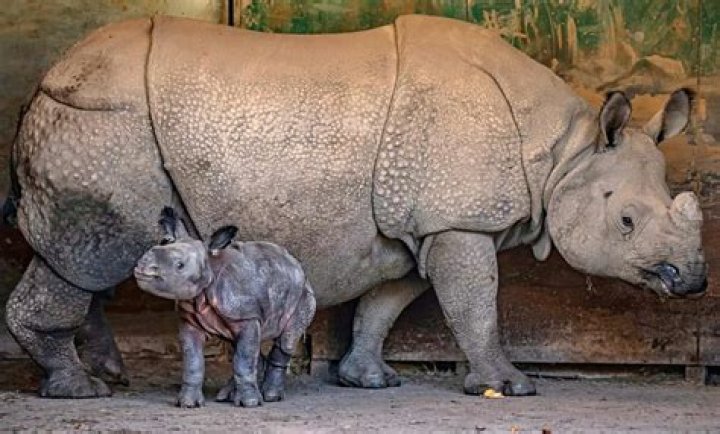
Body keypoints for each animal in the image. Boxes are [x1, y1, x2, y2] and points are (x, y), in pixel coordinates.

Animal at [3, 14, 707, 398]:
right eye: (626, 221)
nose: (694, 281)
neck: (567, 153)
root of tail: (45, 78)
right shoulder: (458, 220)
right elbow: (476, 304)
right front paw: (509, 387)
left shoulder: (416, 226)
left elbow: (388, 302)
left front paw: (368, 379)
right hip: (102, 127)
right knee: (86, 259)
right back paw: (81, 390)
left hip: (100, 125)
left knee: (94, 261)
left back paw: (108, 374)